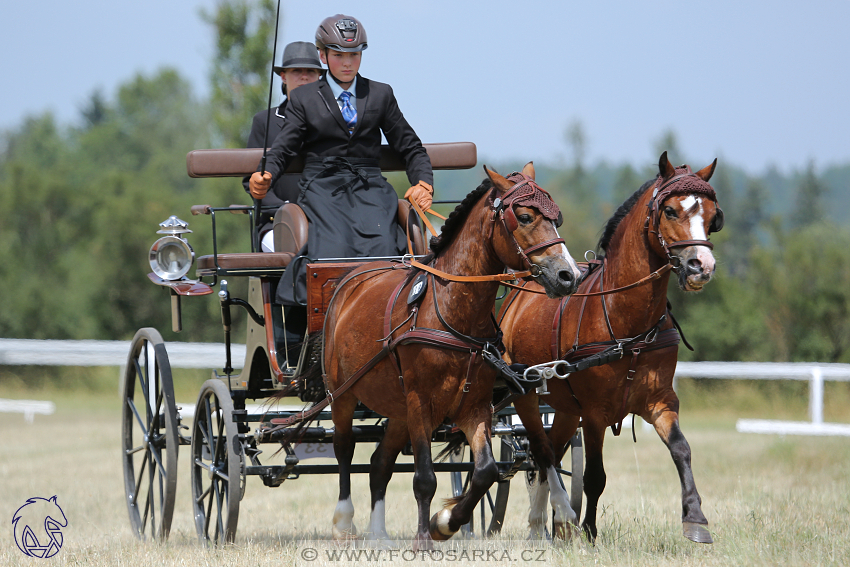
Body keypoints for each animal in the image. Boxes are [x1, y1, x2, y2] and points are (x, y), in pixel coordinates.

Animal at [320, 163, 584, 544]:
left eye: (557, 218)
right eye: (524, 216)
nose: (569, 275)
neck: (451, 311)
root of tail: (351, 279)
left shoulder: (473, 406)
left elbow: (486, 470)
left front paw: (445, 522)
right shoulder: (420, 402)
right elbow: (424, 479)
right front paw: (424, 539)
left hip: (397, 408)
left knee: (379, 463)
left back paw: (379, 534)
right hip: (341, 394)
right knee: (344, 448)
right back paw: (344, 523)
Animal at [496, 153, 724, 544]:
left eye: (712, 216)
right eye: (670, 211)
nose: (701, 267)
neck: (626, 324)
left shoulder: (661, 401)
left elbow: (682, 449)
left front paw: (695, 517)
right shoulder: (594, 413)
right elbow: (595, 477)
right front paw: (588, 531)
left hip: (564, 407)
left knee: (550, 452)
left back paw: (550, 523)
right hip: (525, 394)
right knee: (540, 452)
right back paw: (547, 522)